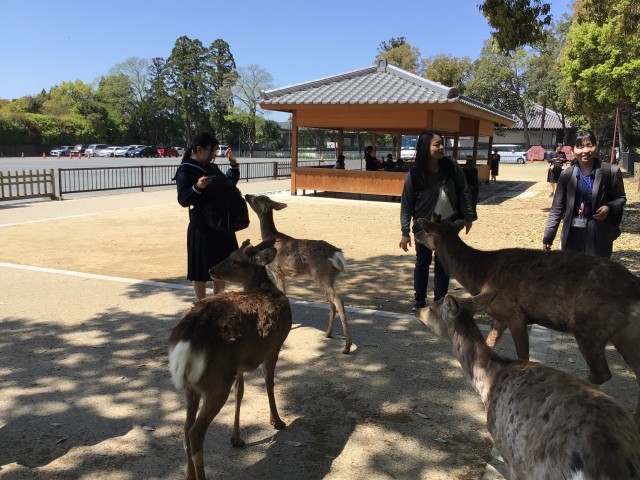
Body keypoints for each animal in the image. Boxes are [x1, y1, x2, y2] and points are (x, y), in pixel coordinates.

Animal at [168, 237, 292, 480]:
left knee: (186, 429)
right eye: (229, 255)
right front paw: (277, 421)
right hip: (216, 380)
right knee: (196, 432)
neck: (265, 289)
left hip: (192, 385)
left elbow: (240, 393)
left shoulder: (240, 365)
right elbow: (269, 384)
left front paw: (236, 438)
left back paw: (189, 475)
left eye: (235, 259)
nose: (211, 269)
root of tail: (186, 340)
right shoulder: (274, 346)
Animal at [244, 193, 352, 354]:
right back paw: (328, 333)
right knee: (332, 302)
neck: (272, 238)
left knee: (339, 302)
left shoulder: (277, 271)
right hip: (327, 278)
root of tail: (337, 254)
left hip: (322, 275)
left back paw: (346, 346)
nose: (246, 195)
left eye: (256, 199)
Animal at [415, 216, 640, 426]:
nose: (415, 233)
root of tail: (634, 290)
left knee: (601, 373)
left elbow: (522, 354)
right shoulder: (499, 316)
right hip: (624, 334)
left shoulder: (514, 313)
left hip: (590, 327)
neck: (482, 276)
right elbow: (488, 343)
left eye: (427, 229)